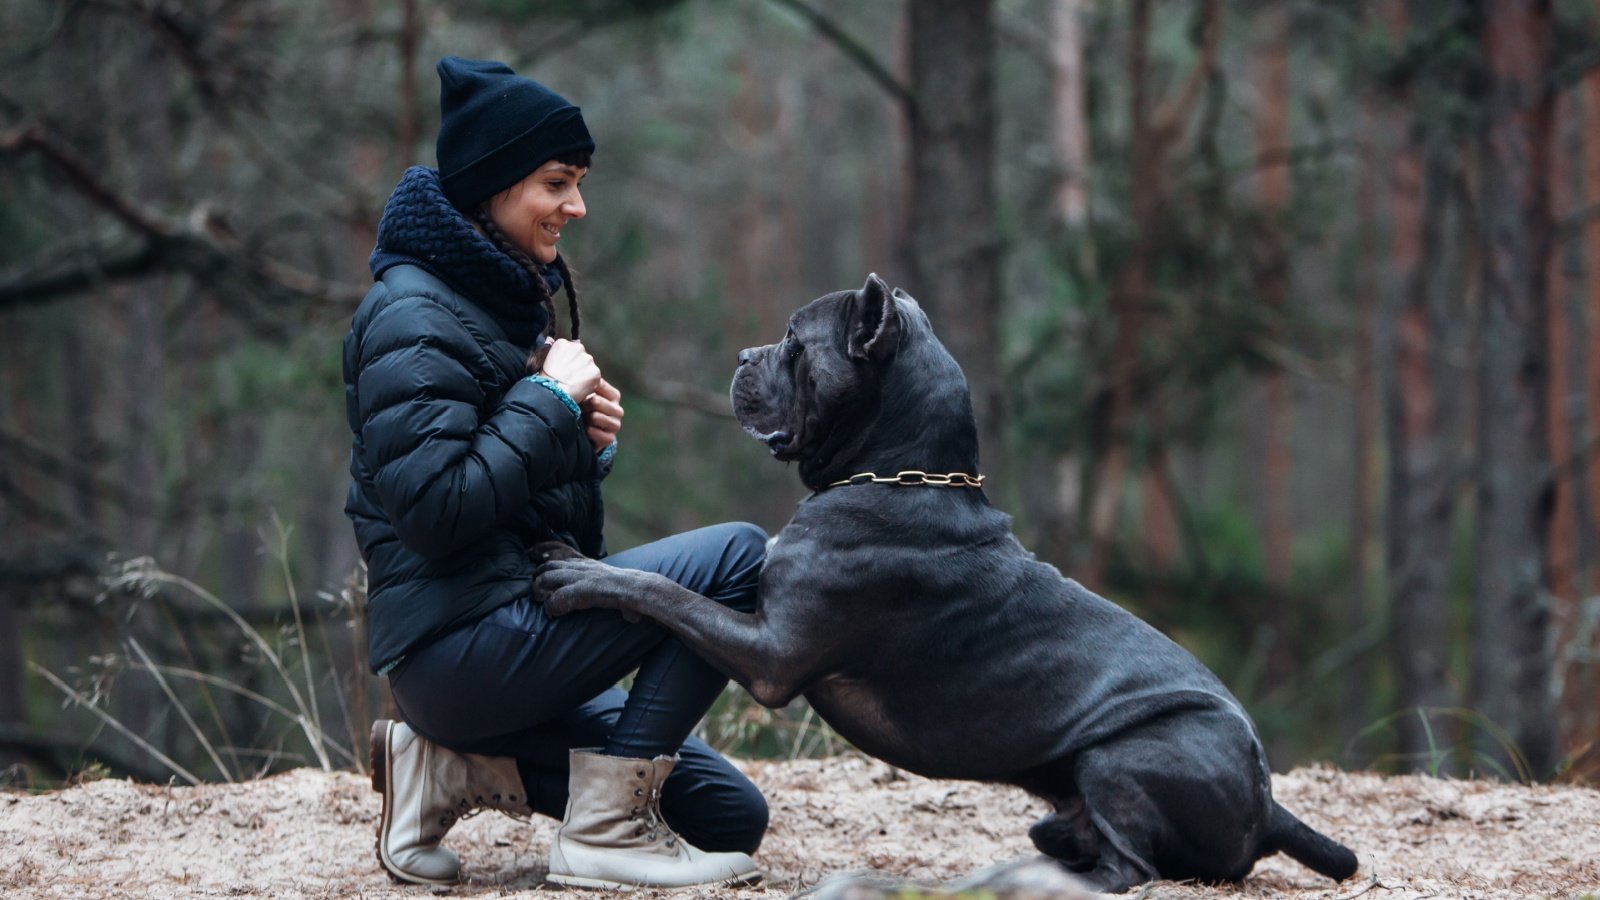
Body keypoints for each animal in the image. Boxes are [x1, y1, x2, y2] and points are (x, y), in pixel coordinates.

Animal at [534, 273, 1350, 890]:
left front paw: (581, 572)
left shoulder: (771, 653)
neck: (898, 474)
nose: (742, 355)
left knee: (1131, 870)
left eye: (795, 341)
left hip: (1127, 754)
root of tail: (1269, 805)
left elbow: (669, 594)